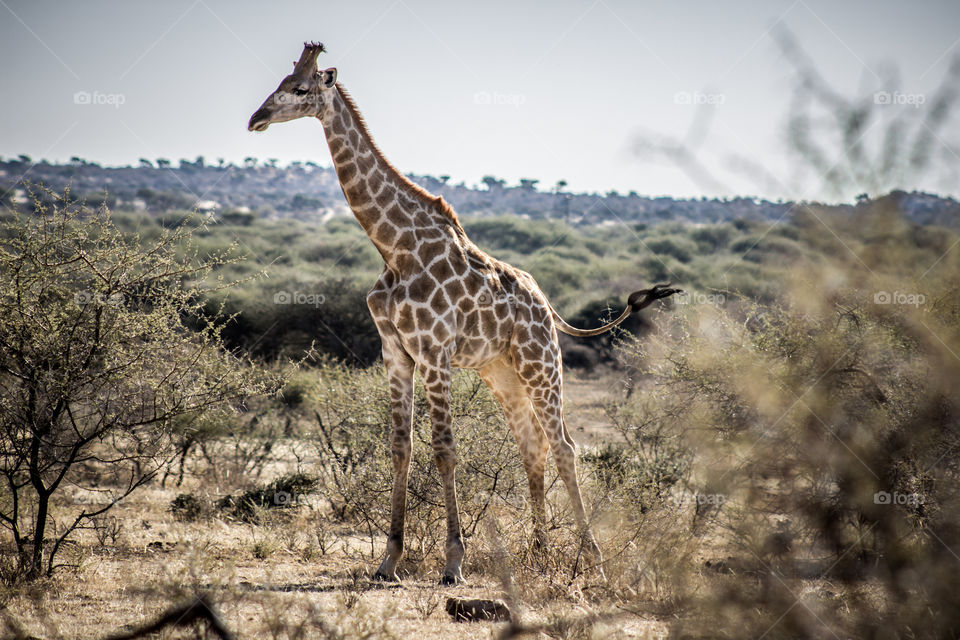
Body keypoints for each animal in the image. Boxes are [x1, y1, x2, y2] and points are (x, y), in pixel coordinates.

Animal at [248, 42, 681, 585]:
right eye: (280, 82)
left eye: (300, 88)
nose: (256, 118)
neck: (395, 249)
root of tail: (548, 306)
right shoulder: (395, 351)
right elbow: (401, 448)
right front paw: (388, 560)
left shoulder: (434, 351)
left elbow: (444, 450)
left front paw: (454, 562)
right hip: (501, 372)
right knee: (532, 446)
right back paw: (538, 552)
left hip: (542, 363)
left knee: (564, 445)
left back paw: (593, 559)